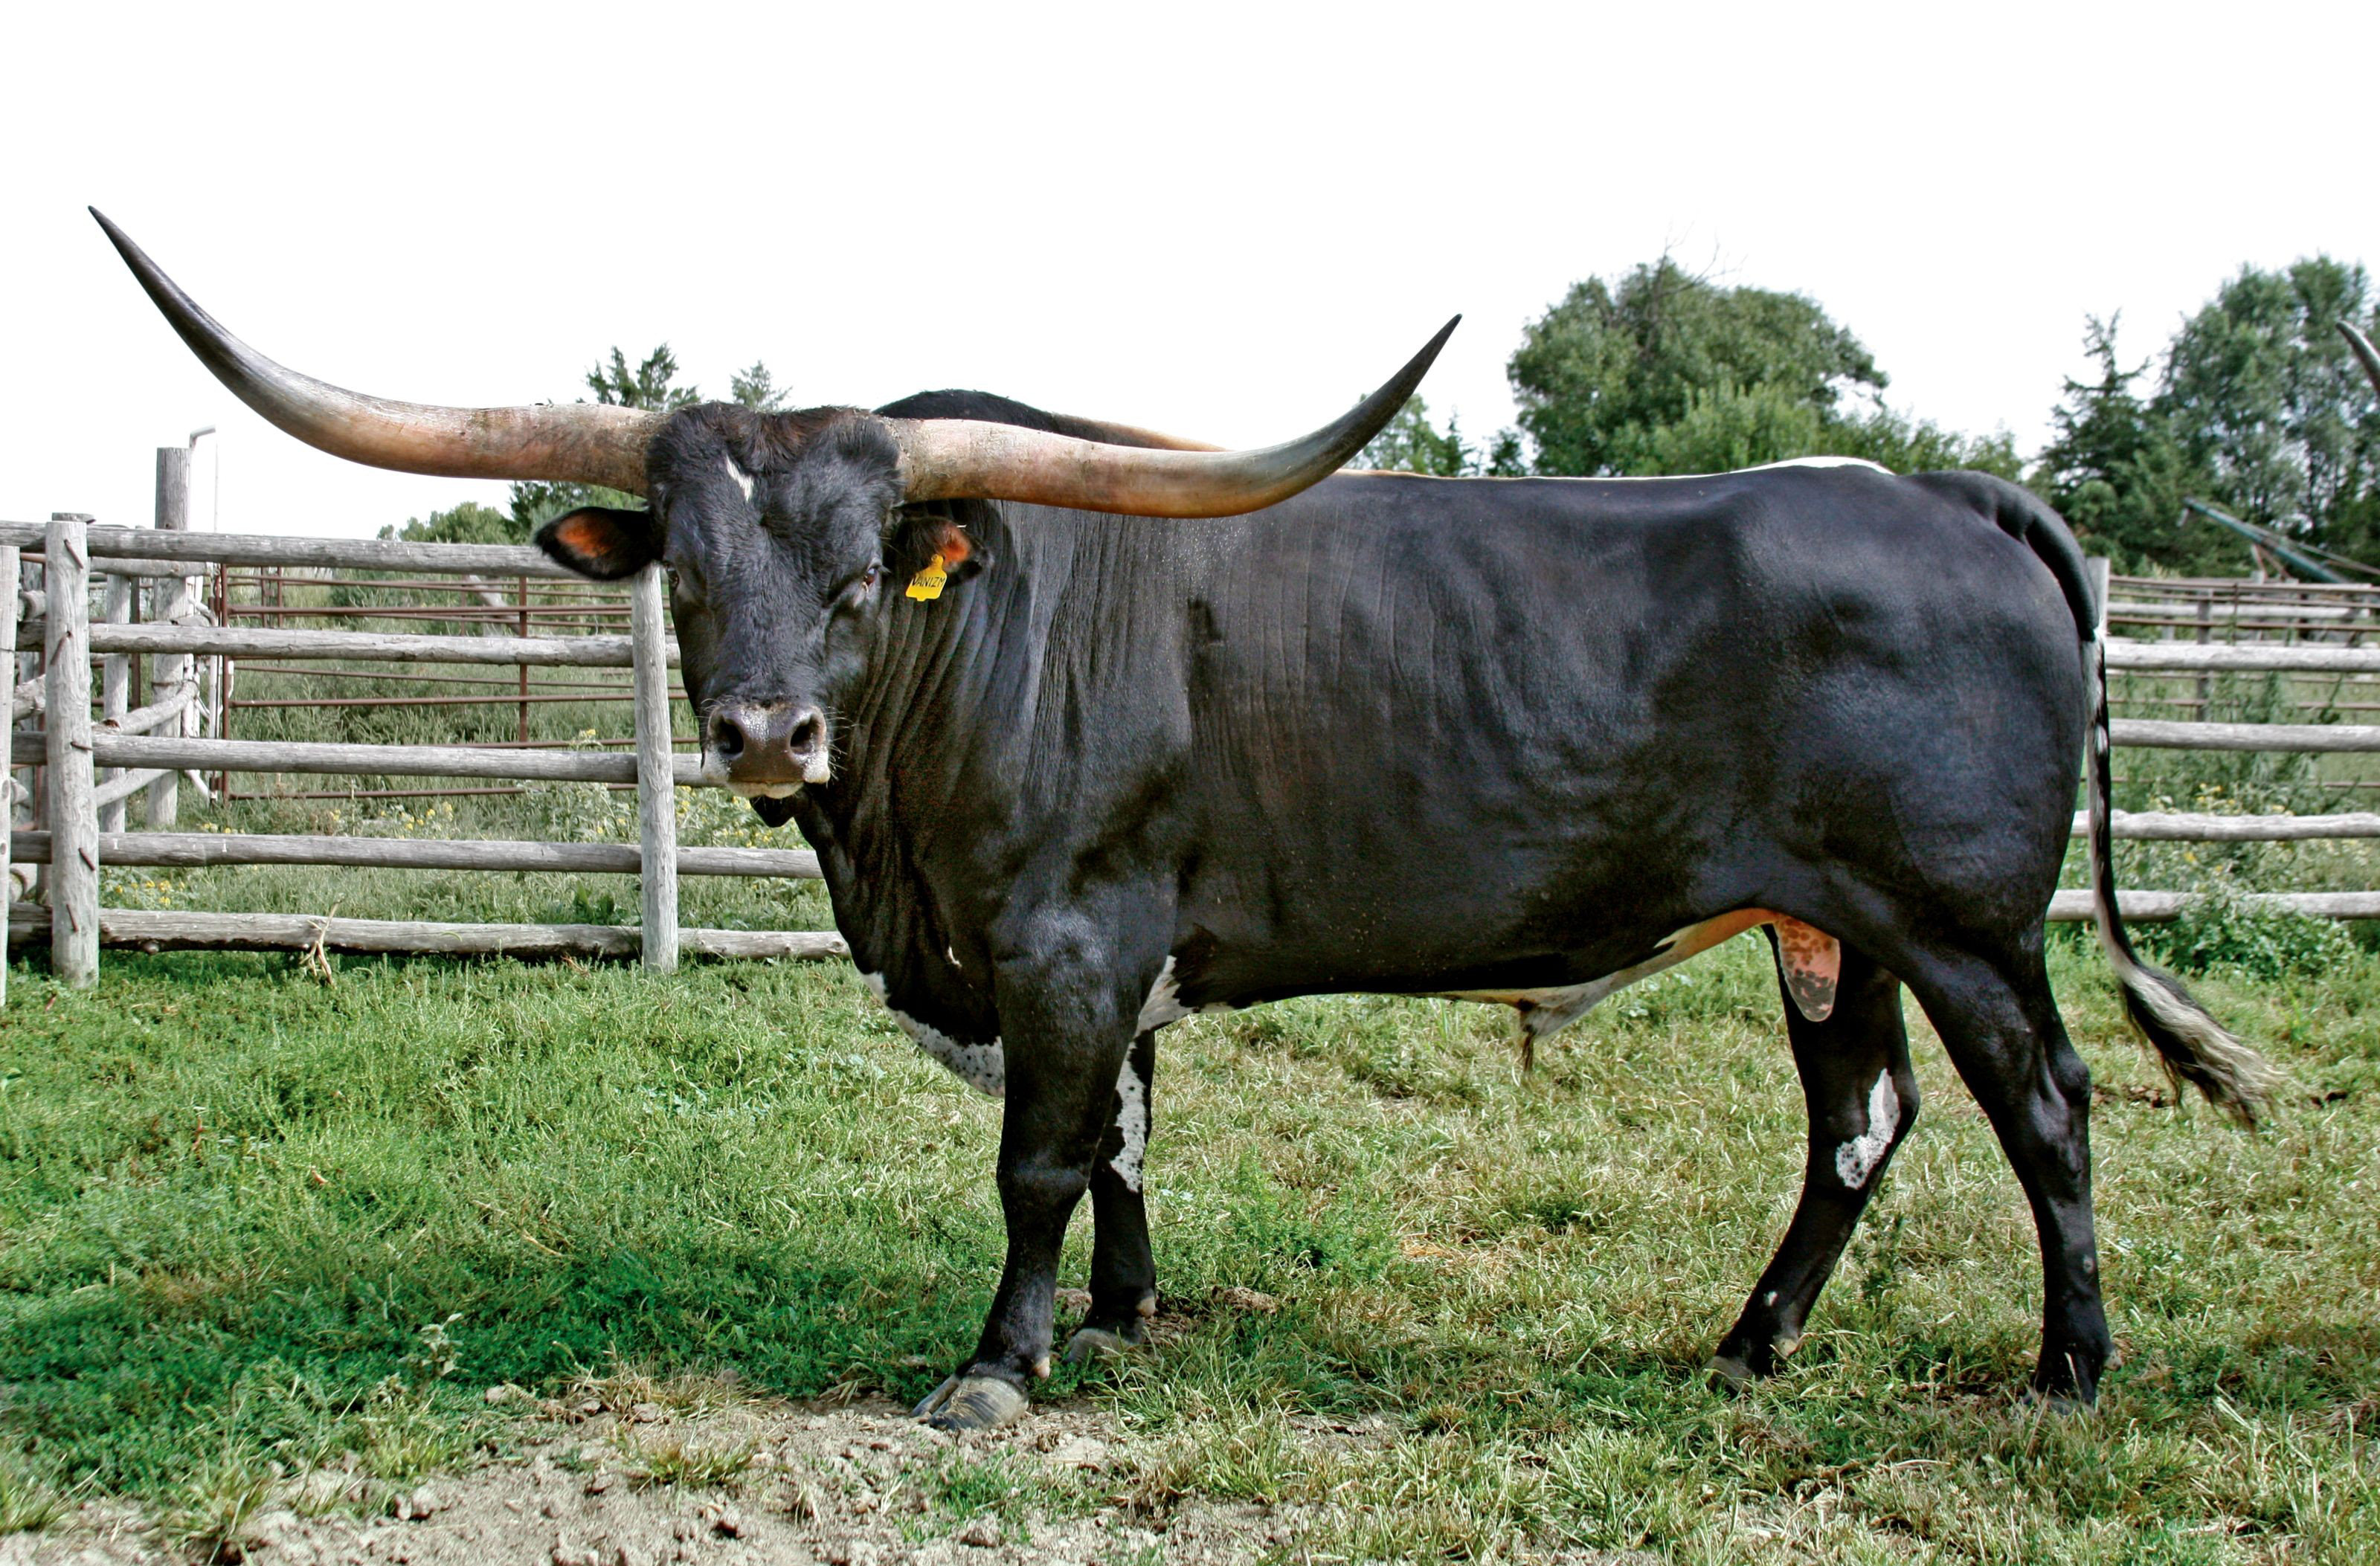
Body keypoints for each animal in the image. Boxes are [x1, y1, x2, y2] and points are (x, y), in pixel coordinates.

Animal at [98, 209, 2275, 1431]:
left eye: (860, 567)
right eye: (691, 575)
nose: (768, 731)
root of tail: (1938, 492)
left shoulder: (1065, 932)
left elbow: (1042, 1155)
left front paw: (1000, 1360)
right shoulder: (1104, 950)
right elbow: (1128, 1140)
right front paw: (1125, 1318)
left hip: (1964, 919)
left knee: (2045, 1110)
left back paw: (2068, 1371)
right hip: (1831, 925)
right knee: (1858, 1121)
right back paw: (1750, 1345)